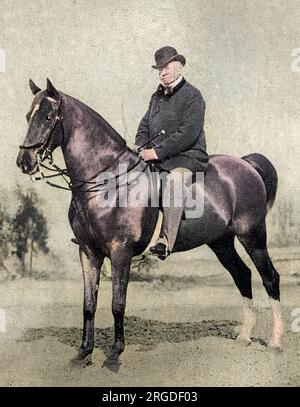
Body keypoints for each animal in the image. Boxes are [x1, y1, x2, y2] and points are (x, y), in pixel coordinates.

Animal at [16, 79, 282, 370]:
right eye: (28, 116)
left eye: (48, 117)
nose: (24, 162)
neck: (107, 181)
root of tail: (247, 164)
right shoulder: (88, 251)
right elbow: (89, 304)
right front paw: (83, 352)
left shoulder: (120, 252)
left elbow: (117, 304)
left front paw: (114, 354)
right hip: (221, 242)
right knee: (242, 275)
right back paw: (244, 337)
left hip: (253, 237)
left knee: (270, 277)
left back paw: (275, 341)